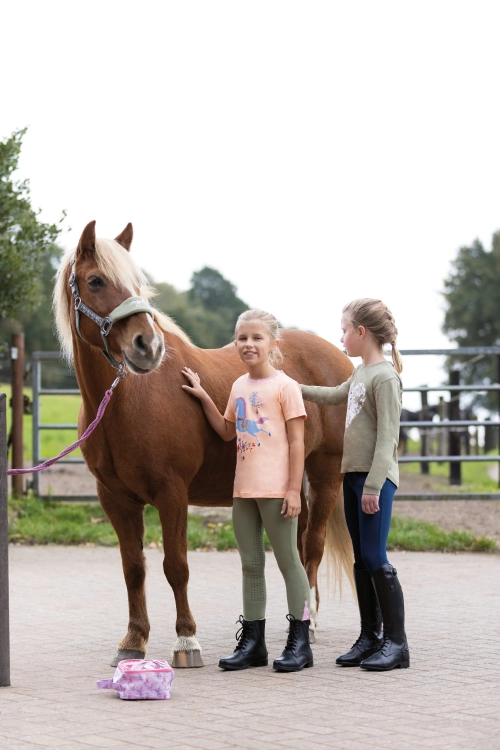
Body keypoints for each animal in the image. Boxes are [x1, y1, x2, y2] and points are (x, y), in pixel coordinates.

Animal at [53, 220, 355, 668]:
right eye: (95, 281)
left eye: (137, 284)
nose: (148, 346)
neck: (127, 402)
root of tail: (341, 360)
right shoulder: (115, 499)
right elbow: (133, 568)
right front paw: (133, 640)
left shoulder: (172, 493)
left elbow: (176, 565)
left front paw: (185, 641)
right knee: (299, 547)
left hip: (326, 476)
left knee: (312, 547)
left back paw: (310, 624)